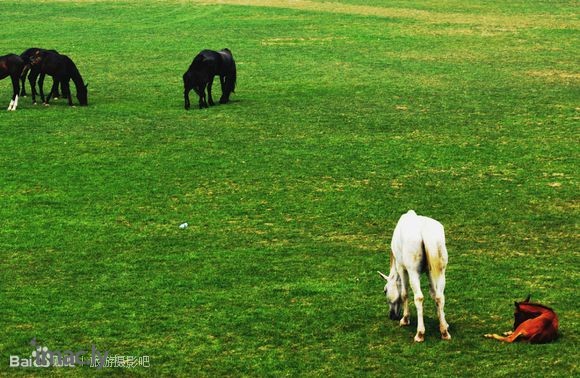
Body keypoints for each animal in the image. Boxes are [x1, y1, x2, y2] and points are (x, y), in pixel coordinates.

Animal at [378, 210, 450, 342]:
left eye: (385, 290)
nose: (392, 315)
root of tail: (425, 233)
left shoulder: (401, 268)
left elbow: (404, 294)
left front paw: (405, 319)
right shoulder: (429, 271)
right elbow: (434, 294)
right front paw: (444, 323)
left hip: (413, 272)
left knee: (419, 297)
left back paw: (420, 334)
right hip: (441, 271)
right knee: (440, 296)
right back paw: (444, 332)